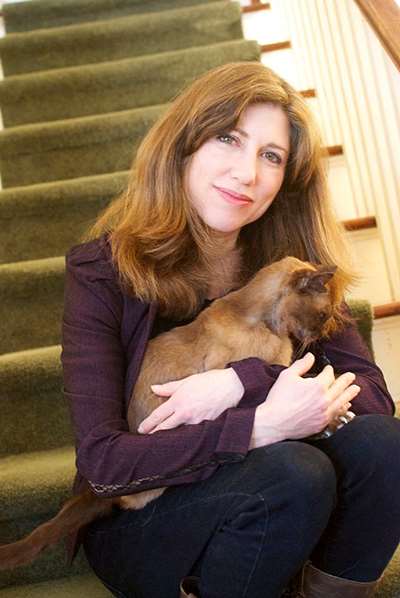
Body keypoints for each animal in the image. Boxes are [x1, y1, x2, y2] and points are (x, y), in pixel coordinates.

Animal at [0, 256, 339, 569]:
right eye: (323, 315)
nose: (320, 335)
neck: (264, 322)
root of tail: (104, 494)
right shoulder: (232, 371)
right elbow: (265, 378)